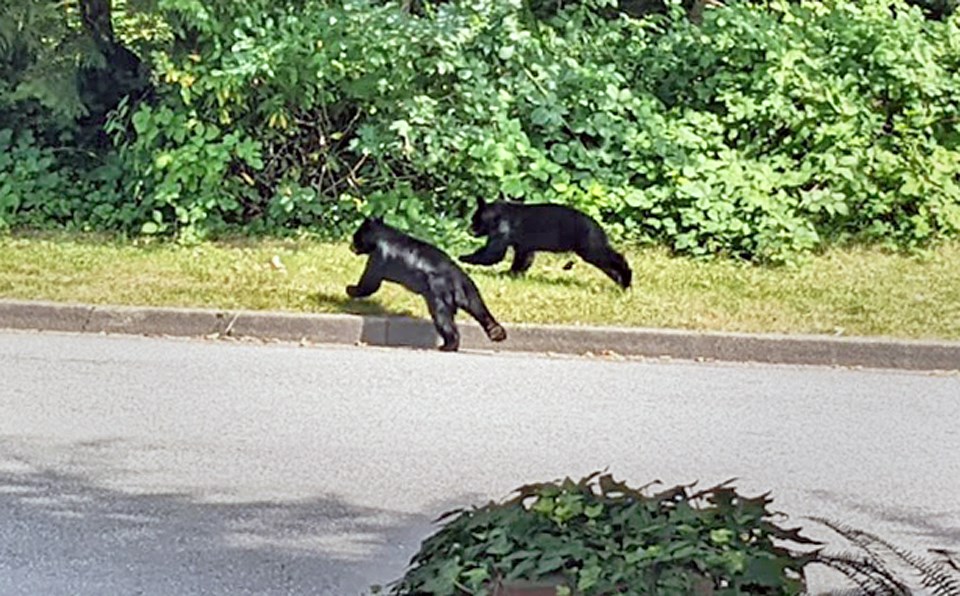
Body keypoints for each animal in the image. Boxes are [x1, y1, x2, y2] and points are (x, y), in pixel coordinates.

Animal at [346, 217, 510, 352]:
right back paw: (497, 333)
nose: (350, 246)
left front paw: (350, 289)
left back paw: (447, 346)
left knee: (444, 320)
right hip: (470, 290)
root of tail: (457, 279)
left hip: (439, 298)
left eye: (356, 236)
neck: (381, 237)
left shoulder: (378, 259)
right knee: (479, 309)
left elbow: (370, 283)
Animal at [462, 197, 632, 290]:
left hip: (589, 245)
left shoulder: (502, 230)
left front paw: (463, 258)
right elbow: (523, 258)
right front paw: (512, 273)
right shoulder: (523, 245)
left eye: (475, 218)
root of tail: (599, 227)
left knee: (610, 257)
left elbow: (492, 253)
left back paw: (626, 276)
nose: (469, 229)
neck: (498, 215)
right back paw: (623, 284)